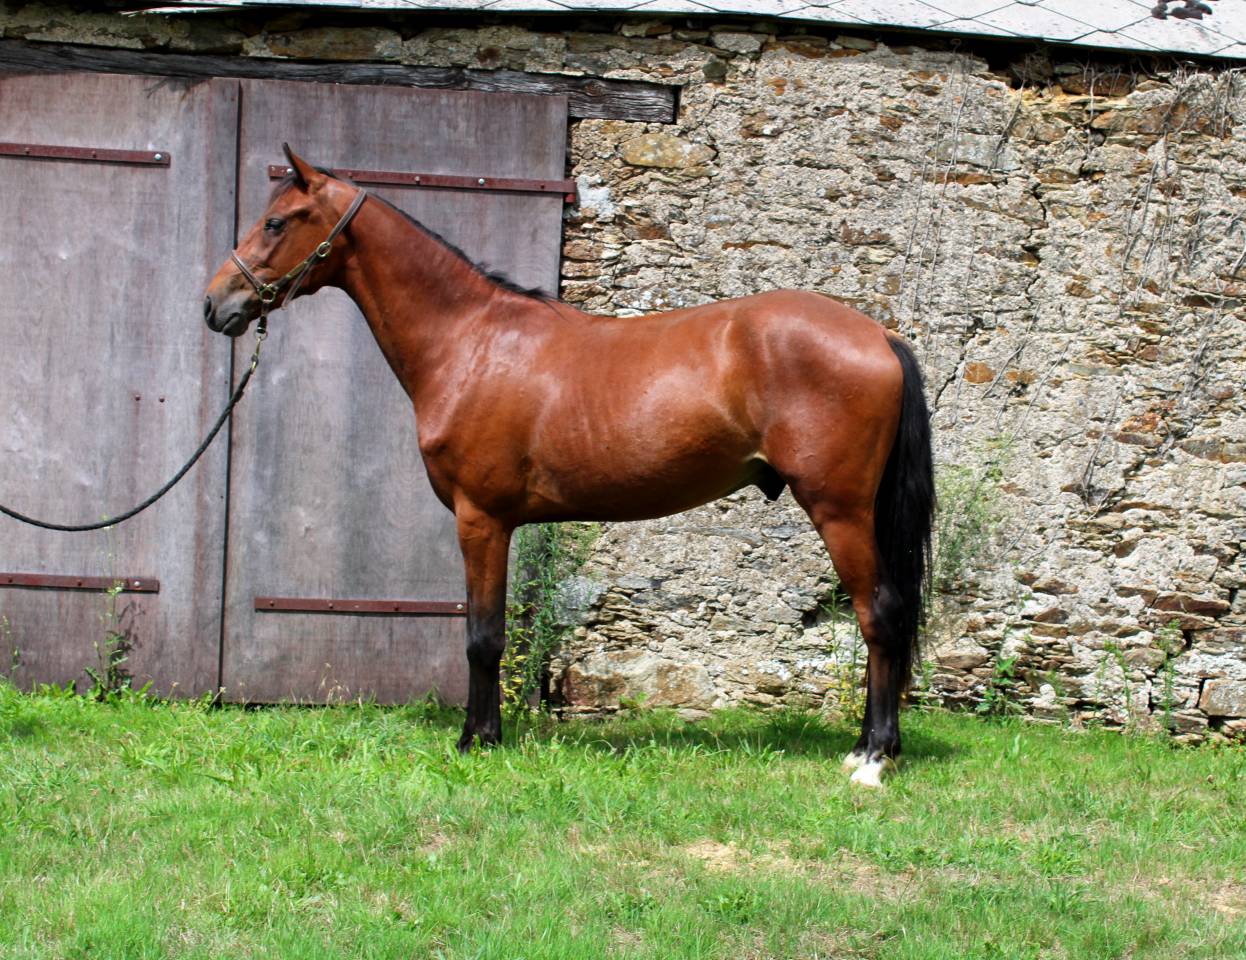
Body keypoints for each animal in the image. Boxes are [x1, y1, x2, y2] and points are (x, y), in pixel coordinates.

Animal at [203, 146, 934, 787]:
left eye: (277, 221)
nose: (216, 305)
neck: (469, 341)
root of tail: (879, 335)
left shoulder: (481, 519)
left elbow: (483, 635)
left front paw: (477, 741)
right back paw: (866, 748)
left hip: (840, 510)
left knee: (879, 615)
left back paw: (873, 759)